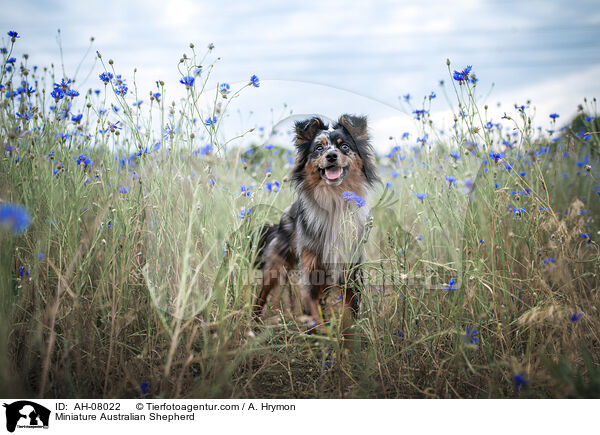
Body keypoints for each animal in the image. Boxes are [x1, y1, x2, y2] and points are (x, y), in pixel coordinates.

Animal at [252, 114, 376, 328]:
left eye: (344, 146)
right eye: (319, 148)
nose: (331, 156)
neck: (333, 201)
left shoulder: (350, 270)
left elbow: (350, 314)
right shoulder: (311, 271)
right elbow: (314, 314)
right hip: (275, 266)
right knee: (262, 295)